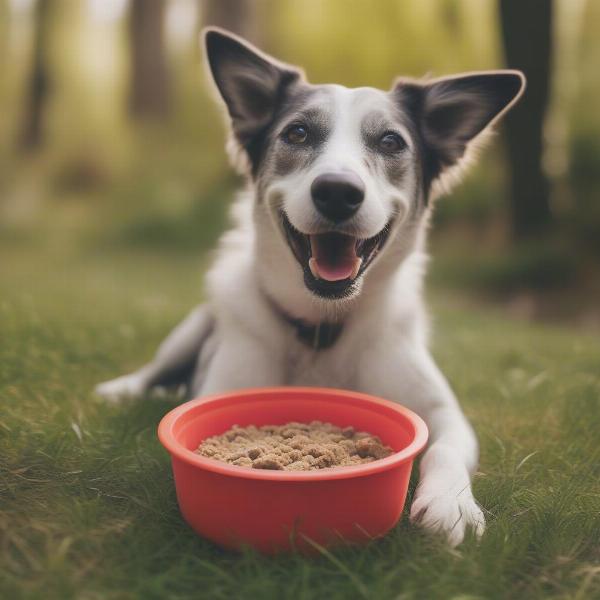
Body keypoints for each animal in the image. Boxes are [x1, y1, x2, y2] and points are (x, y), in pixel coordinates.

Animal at [95, 27, 524, 544]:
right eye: (297, 133)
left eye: (390, 141)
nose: (338, 191)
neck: (322, 326)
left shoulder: (445, 412)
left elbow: (444, 446)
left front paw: (449, 504)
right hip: (192, 328)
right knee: (155, 370)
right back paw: (123, 390)